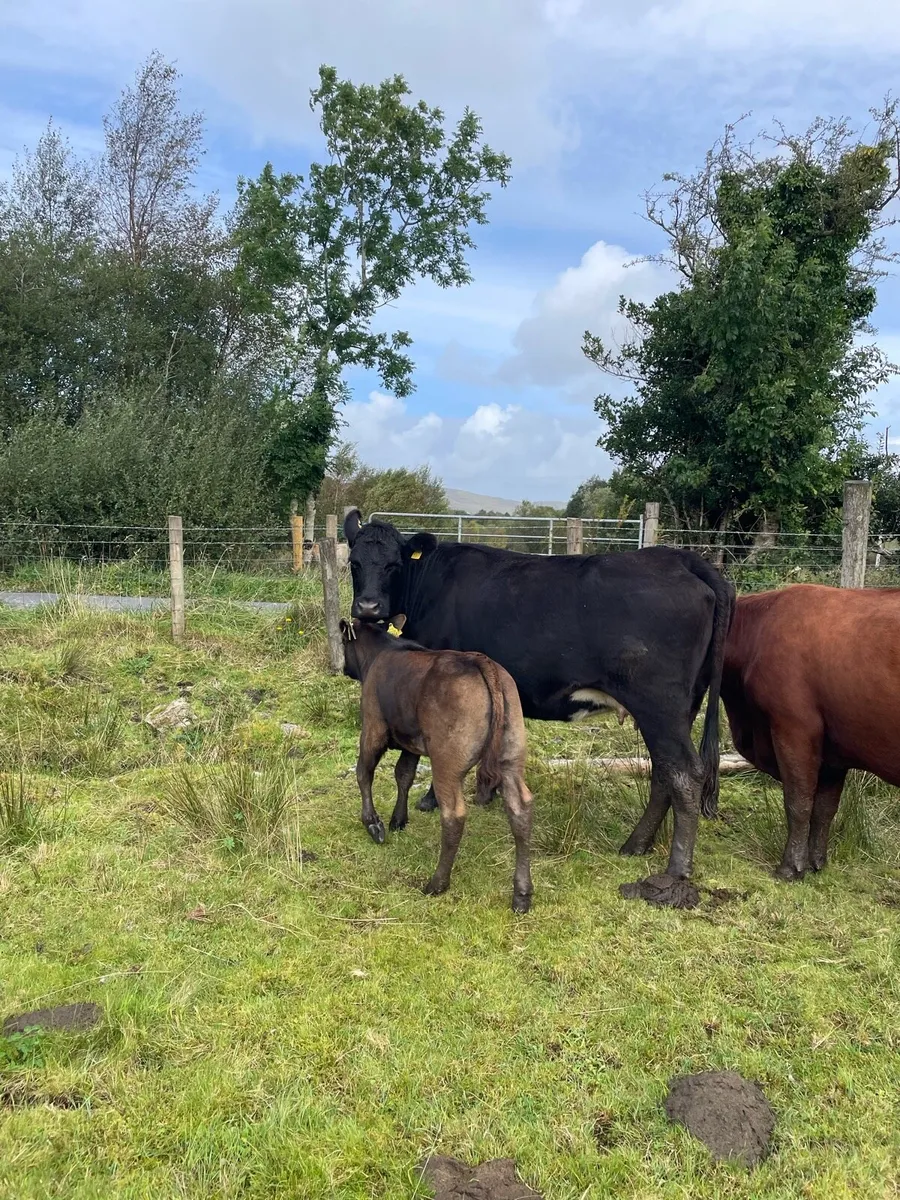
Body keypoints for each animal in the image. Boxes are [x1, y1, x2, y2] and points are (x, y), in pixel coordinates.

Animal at [340, 615, 534, 913]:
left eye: (343, 642)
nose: (342, 668)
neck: (382, 651)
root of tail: (481, 662)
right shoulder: (411, 741)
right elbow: (404, 775)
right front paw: (398, 820)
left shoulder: (373, 727)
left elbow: (364, 772)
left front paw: (374, 824)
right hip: (511, 756)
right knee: (520, 810)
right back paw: (521, 895)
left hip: (446, 764)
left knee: (453, 815)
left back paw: (437, 883)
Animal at [343, 510, 735, 881]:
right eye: (354, 562)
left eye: (394, 564)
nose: (368, 607)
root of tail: (678, 558)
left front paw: (429, 800)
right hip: (681, 707)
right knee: (663, 772)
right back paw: (636, 844)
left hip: (659, 707)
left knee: (684, 772)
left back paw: (676, 867)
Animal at [721, 584, 900, 881]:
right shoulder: (832, 753)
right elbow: (824, 809)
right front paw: (817, 862)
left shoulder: (794, 728)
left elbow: (799, 802)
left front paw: (790, 868)